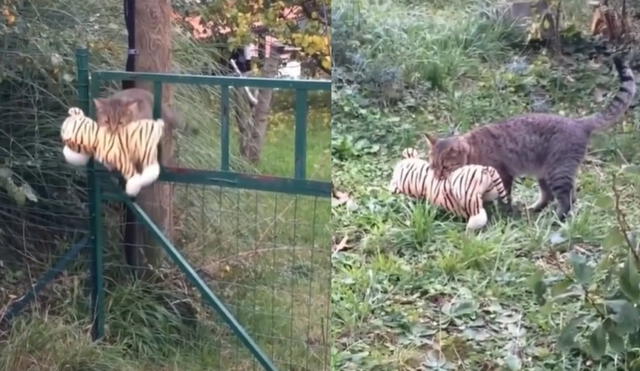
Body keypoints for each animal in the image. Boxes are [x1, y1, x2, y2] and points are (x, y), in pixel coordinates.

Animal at [424, 56, 636, 219]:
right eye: (433, 166)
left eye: (445, 166)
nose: (437, 176)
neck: (474, 152)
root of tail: (578, 123)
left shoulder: (504, 174)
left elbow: (504, 197)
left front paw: (503, 213)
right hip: (545, 173)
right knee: (551, 195)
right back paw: (534, 210)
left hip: (558, 171)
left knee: (567, 199)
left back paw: (557, 218)